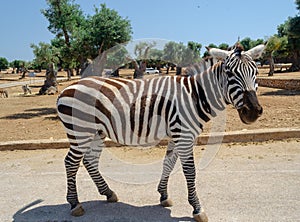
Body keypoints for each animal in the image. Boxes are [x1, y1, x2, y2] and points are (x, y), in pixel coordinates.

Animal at [56, 44, 264, 221]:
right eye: (230, 73)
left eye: (255, 72)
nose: (253, 111)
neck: (195, 96)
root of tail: (67, 88)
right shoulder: (184, 136)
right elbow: (190, 171)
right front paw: (197, 208)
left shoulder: (177, 135)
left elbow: (168, 164)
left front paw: (163, 195)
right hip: (80, 131)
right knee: (70, 162)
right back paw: (75, 204)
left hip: (97, 132)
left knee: (89, 161)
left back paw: (108, 193)